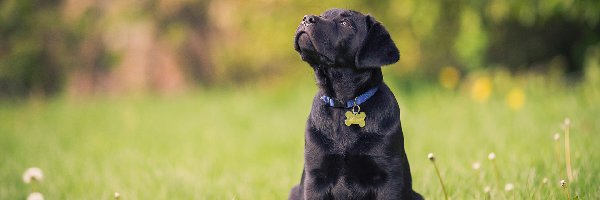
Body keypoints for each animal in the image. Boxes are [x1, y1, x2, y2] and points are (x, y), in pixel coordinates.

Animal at [290, 8, 422, 199]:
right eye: (322, 15)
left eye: (345, 23)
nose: (307, 19)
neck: (344, 103)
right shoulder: (315, 176)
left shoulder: (388, 176)